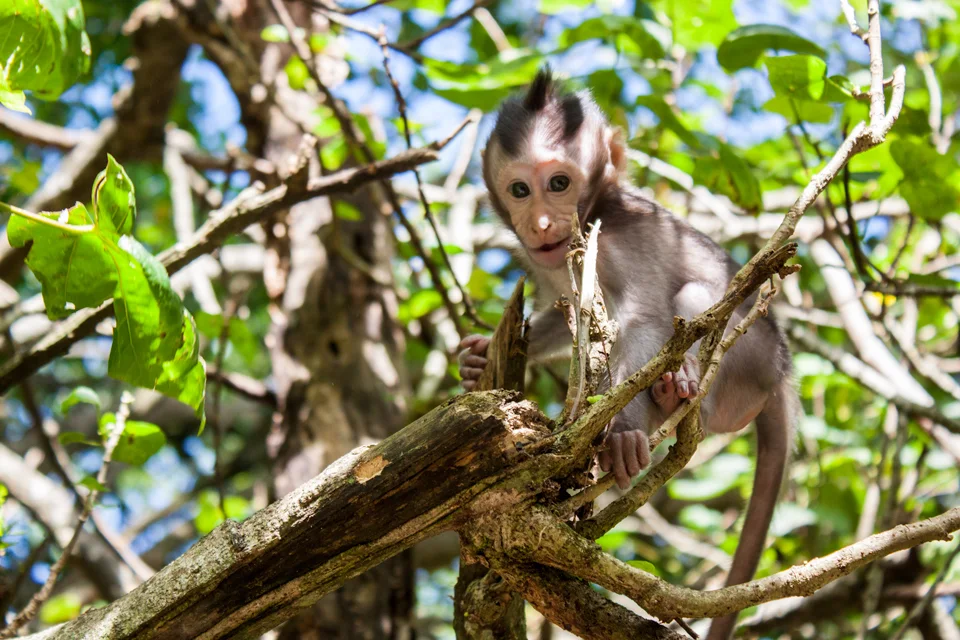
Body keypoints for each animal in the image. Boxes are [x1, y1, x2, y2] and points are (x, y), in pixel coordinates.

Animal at [458, 68, 799, 640]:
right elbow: (562, 314)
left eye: (559, 183)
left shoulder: (615, 243)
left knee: (693, 299)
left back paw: (675, 392)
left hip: (750, 360)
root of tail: (780, 376)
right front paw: (480, 357)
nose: (542, 224)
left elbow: (645, 319)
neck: (597, 210)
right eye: (520, 189)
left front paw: (622, 432)